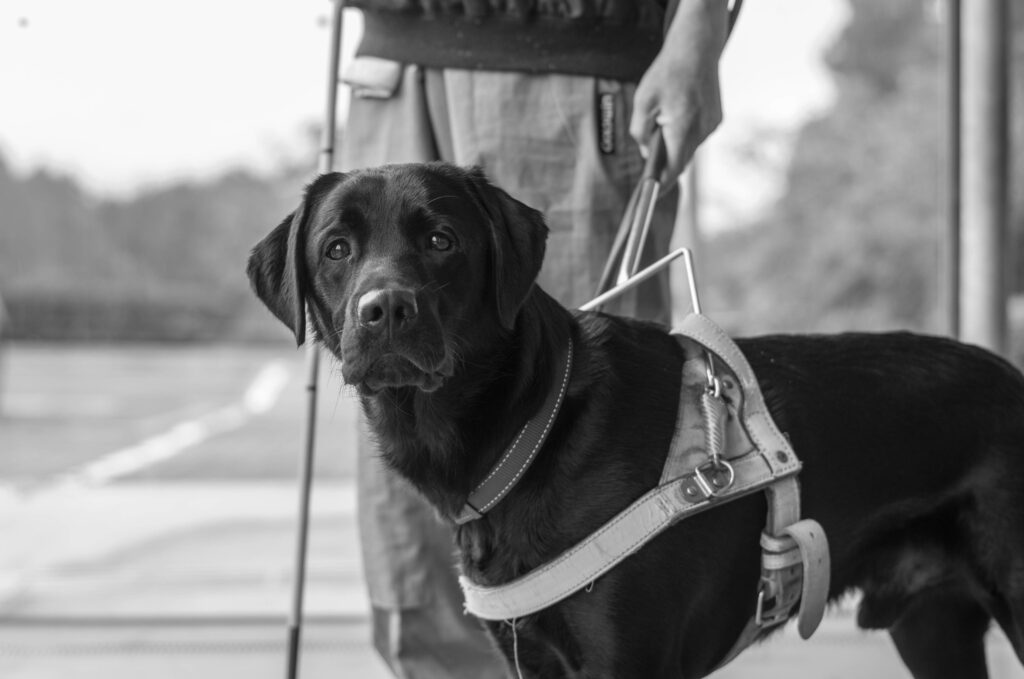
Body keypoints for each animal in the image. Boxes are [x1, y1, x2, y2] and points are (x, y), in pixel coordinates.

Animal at [249, 161, 1024, 675]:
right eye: (336, 248)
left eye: (442, 240)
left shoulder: (625, 661)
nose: (384, 309)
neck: (529, 431)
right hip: (933, 627)